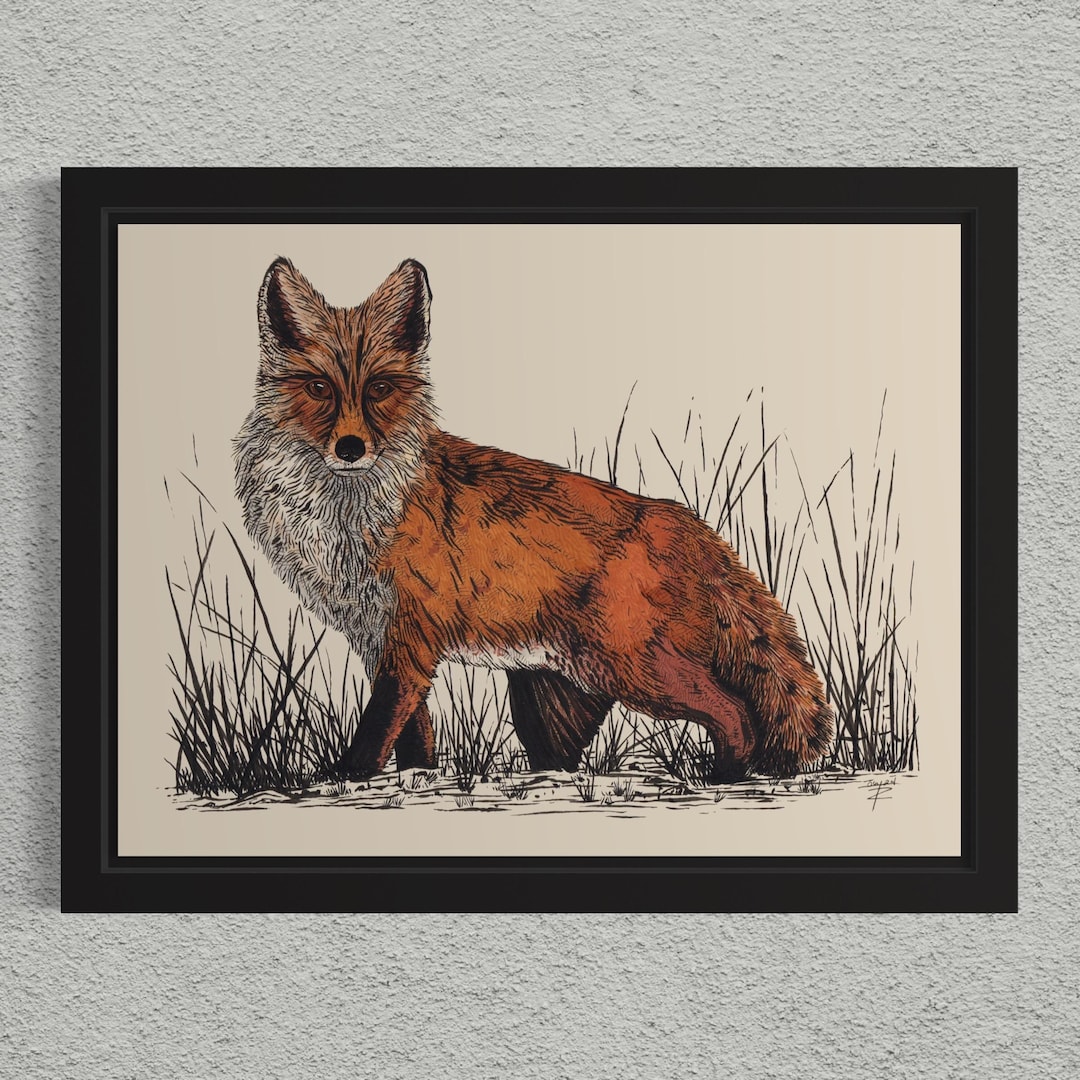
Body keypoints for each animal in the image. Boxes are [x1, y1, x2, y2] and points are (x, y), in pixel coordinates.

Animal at [233, 257, 832, 783]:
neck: (344, 517)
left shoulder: (410, 637)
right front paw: (414, 780)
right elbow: (413, 737)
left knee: (736, 713)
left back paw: (725, 777)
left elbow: (375, 731)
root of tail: (682, 520)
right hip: (560, 690)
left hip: (637, 669)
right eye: (319, 389)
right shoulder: (380, 638)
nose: (351, 448)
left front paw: (346, 779)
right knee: (569, 753)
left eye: (379, 388)